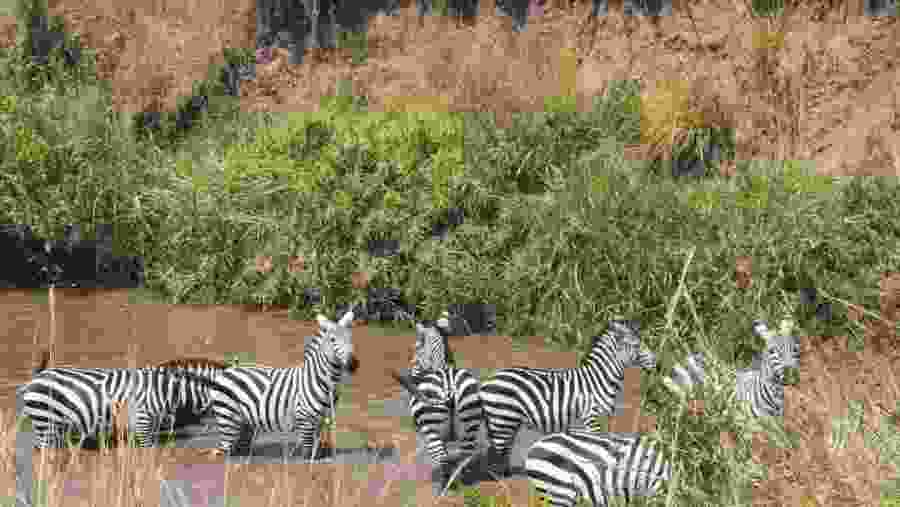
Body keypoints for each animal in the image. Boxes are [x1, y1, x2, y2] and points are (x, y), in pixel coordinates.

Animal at [208, 310, 359, 458]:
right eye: (332, 340)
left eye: (350, 338)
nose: (353, 365)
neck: (321, 381)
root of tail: (226, 371)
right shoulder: (304, 417)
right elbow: (307, 452)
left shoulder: (323, 419)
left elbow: (316, 449)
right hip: (227, 416)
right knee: (225, 452)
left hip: (244, 421)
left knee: (239, 448)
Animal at [480, 319, 657, 477]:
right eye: (636, 345)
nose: (657, 363)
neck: (600, 379)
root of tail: (488, 380)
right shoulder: (592, 418)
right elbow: (595, 448)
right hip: (502, 420)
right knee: (495, 452)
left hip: (508, 422)